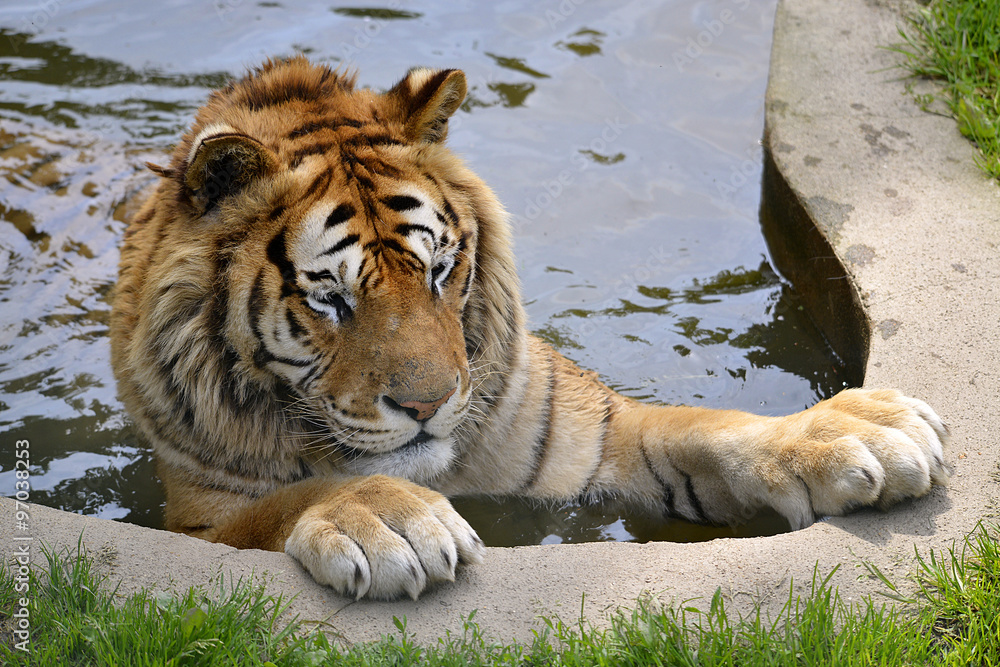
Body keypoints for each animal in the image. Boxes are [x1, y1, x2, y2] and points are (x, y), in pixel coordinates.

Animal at [109, 57, 944, 600]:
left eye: (440, 269)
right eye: (331, 300)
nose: (428, 405)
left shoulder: (586, 433)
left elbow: (704, 428)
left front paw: (856, 429)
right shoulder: (196, 520)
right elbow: (281, 504)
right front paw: (386, 517)